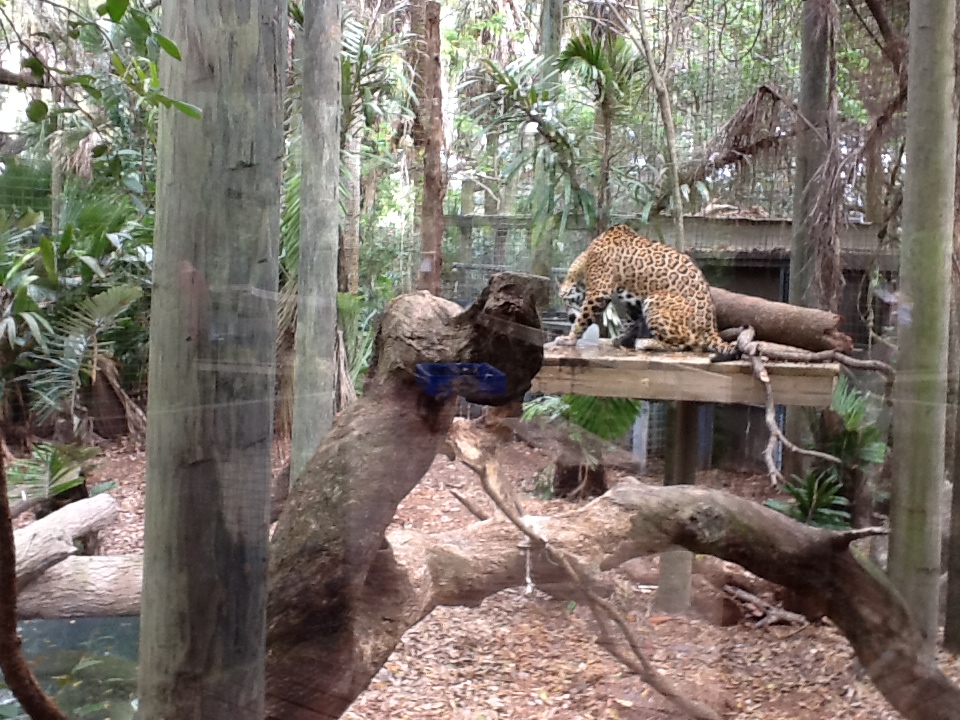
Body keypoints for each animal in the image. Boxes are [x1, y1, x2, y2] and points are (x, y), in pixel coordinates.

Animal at [553, 224, 738, 360]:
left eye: (567, 302)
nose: (569, 317)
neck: (585, 262)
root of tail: (711, 329)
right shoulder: (632, 302)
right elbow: (630, 322)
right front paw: (622, 338)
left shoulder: (598, 292)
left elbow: (583, 319)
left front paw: (568, 339)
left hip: (655, 301)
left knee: (684, 344)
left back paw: (646, 343)